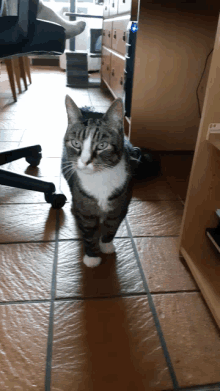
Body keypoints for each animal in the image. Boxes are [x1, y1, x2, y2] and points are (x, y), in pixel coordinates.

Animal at [62, 94, 143, 270]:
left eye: (102, 145)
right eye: (76, 143)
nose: (85, 161)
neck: (99, 178)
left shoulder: (121, 203)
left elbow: (112, 226)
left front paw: (106, 245)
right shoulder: (85, 206)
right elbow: (88, 231)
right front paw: (91, 257)